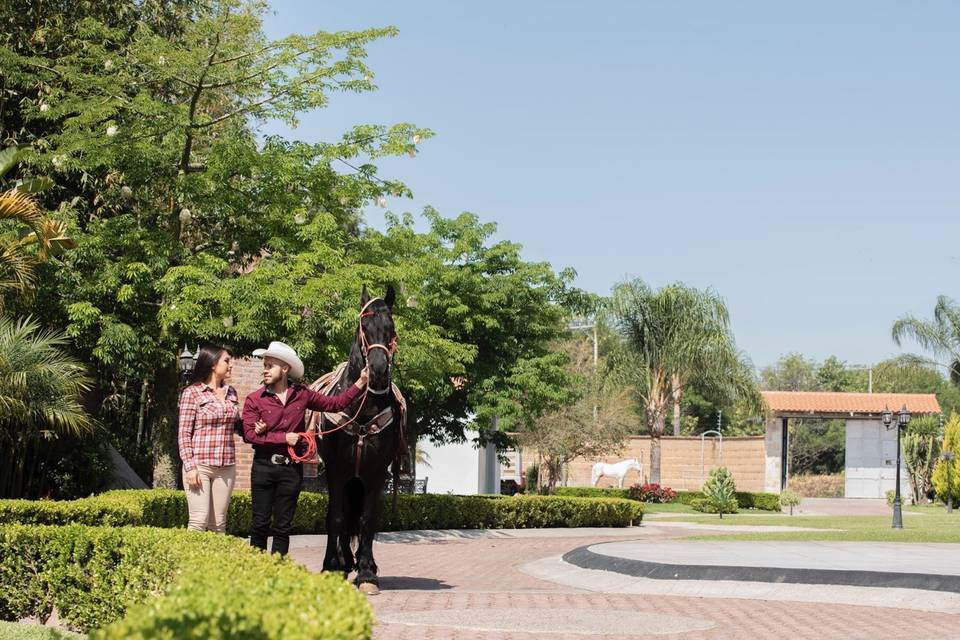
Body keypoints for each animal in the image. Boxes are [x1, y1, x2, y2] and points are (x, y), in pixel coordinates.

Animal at [308, 284, 404, 596]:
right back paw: (342, 561)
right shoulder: (337, 470)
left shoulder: (376, 472)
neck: (363, 409)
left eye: (391, 328)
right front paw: (331, 565)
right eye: (364, 325)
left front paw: (367, 573)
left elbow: (367, 520)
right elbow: (336, 518)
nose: (378, 370)